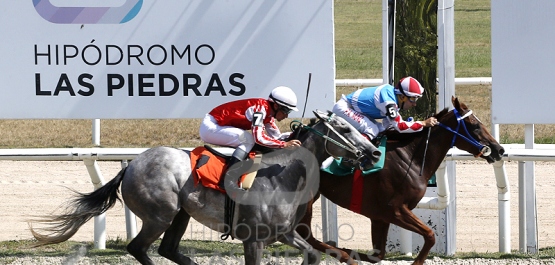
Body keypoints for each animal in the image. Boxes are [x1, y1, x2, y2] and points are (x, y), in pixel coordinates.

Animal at [27, 109, 382, 264]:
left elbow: (312, 254)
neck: (283, 176)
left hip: (180, 215)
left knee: (168, 250)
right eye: (343, 128)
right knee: (138, 248)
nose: (375, 151)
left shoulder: (284, 234)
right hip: (161, 214)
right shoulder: (253, 238)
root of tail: (131, 166)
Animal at [298, 97, 506, 264]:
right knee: (306, 235)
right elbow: (430, 235)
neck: (409, 157)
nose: (499, 149)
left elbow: (377, 255)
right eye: (475, 125)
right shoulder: (395, 209)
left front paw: (348, 251)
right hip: (306, 199)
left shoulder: (379, 216)